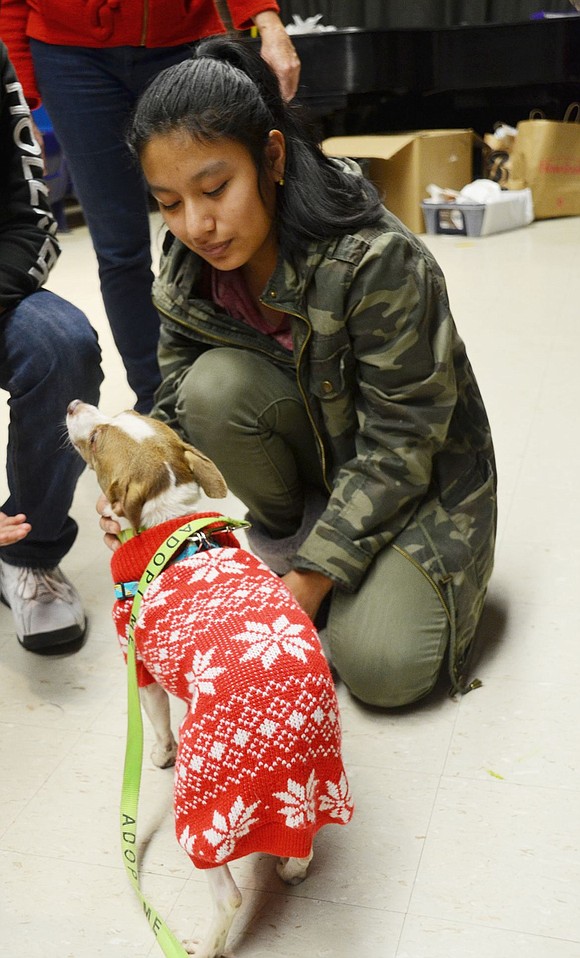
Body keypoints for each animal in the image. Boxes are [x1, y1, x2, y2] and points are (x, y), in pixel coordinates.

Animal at [65, 402, 352, 958]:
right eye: (128, 410)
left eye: (98, 437)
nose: (72, 406)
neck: (171, 527)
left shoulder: (139, 665)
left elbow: (156, 722)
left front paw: (160, 753)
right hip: (317, 790)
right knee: (304, 840)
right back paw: (292, 867)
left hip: (204, 818)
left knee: (231, 897)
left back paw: (207, 943)